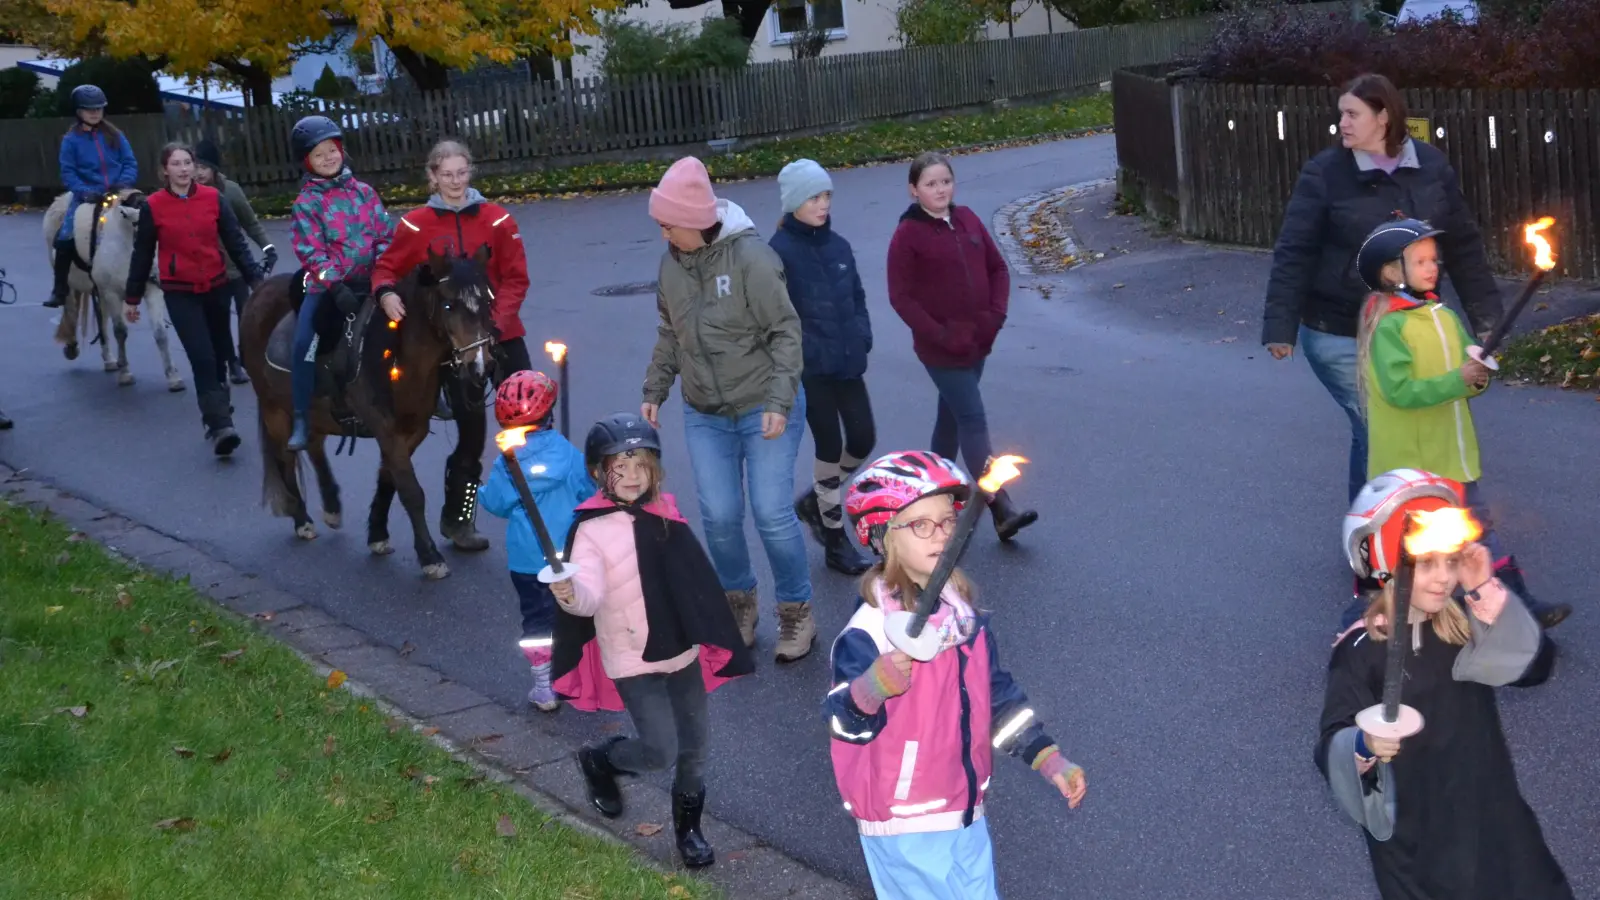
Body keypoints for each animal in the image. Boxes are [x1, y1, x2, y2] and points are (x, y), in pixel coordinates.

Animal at [43, 190, 183, 390]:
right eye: (146, 234)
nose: (160, 275)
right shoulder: (113, 294)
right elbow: (120, 332)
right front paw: (125, 374)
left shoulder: (152, 292)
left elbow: (160, 333)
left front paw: (173, 377)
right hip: (72, 286)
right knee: (70, 311)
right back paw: (72, 347)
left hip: (100, 292)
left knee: (101, 322)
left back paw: (109, 359)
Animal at [240, 245, 492, 576]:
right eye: (449, 305)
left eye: (487, 301)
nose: (481, 366)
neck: (396, 350)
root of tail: (259, 291)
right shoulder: (386, 428)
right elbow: (411, 490)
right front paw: (430, 556)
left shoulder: (412, 430)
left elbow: (389, 479)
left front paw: (377, 534)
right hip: (274, 409)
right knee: (285, 458)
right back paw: (302, 520)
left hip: (316, 411)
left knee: (314, 445)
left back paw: (332, 506)